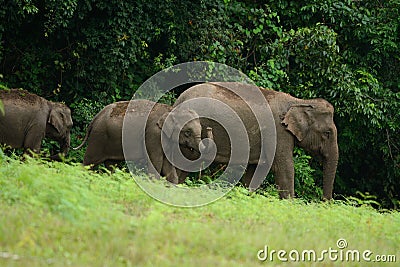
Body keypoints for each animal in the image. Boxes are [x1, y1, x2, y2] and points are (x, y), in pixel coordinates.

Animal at [73, 99, 211, 185]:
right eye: (188, 132)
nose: (210, 129)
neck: (172, 110)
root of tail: (95, 118)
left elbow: (168, 167)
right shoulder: (153, 135)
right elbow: (156, 163)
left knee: (111, 165)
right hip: (98, 137)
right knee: (89, 162)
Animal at [173, 82, 340, 200]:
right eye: (327, 133)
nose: (325, 202)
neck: (297, 101)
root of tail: (179, 99)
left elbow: (255, 170)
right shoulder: (278, 132)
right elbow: (285, 167)